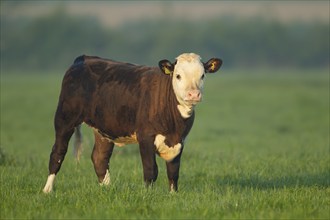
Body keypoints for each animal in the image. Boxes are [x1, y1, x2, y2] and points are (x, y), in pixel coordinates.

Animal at [42, 52, 222, 192]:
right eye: (178, 76)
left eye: (202, 75)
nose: (193, 94)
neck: (174, 126)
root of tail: (83, 59)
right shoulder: (145, 136)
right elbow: (151, 170)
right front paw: (148, 195)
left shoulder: (180, 141)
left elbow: (173, 172)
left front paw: (173, 195)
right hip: (65, 118)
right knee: (57, 153)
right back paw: (47, 190)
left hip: (103, 128)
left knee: (100, 158)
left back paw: (107, 189)